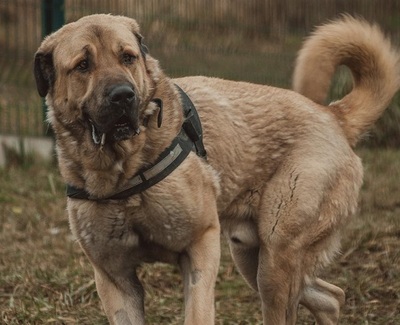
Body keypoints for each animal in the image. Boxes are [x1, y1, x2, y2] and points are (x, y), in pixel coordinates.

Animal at [35, 13, 400, 322]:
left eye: (128, 57)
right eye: (83, 65)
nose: (124, 95)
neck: (124, 173)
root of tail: (333, 115)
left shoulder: (201, 246)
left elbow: (197, 314)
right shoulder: (114, 278)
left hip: (276, 259)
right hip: (253, 258)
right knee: (332, 297)